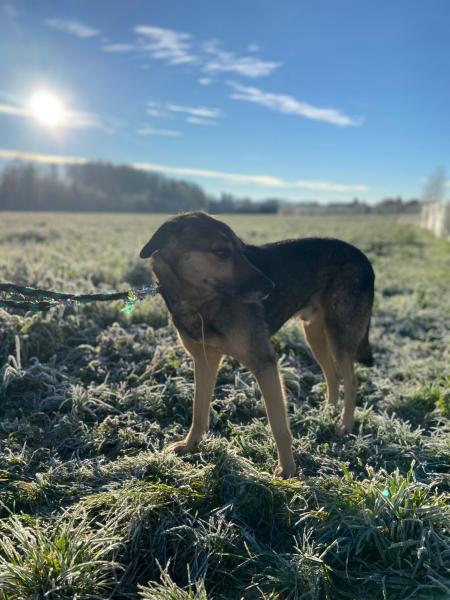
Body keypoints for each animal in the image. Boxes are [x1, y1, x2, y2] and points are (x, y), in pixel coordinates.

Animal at [140, 211, 375, 478]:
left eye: (242, 250)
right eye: (222, 252)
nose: (271, 287)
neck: (200, 302)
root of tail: (362, 256)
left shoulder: (264, 363)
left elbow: (278, 425)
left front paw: (287, 472)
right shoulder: (204, 360)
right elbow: (199, 411)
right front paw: (191, 446)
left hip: (339, 336)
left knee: (352, 381)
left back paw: (344, 425)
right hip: (314, 335)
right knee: (332, 375)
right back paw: (327, 412)